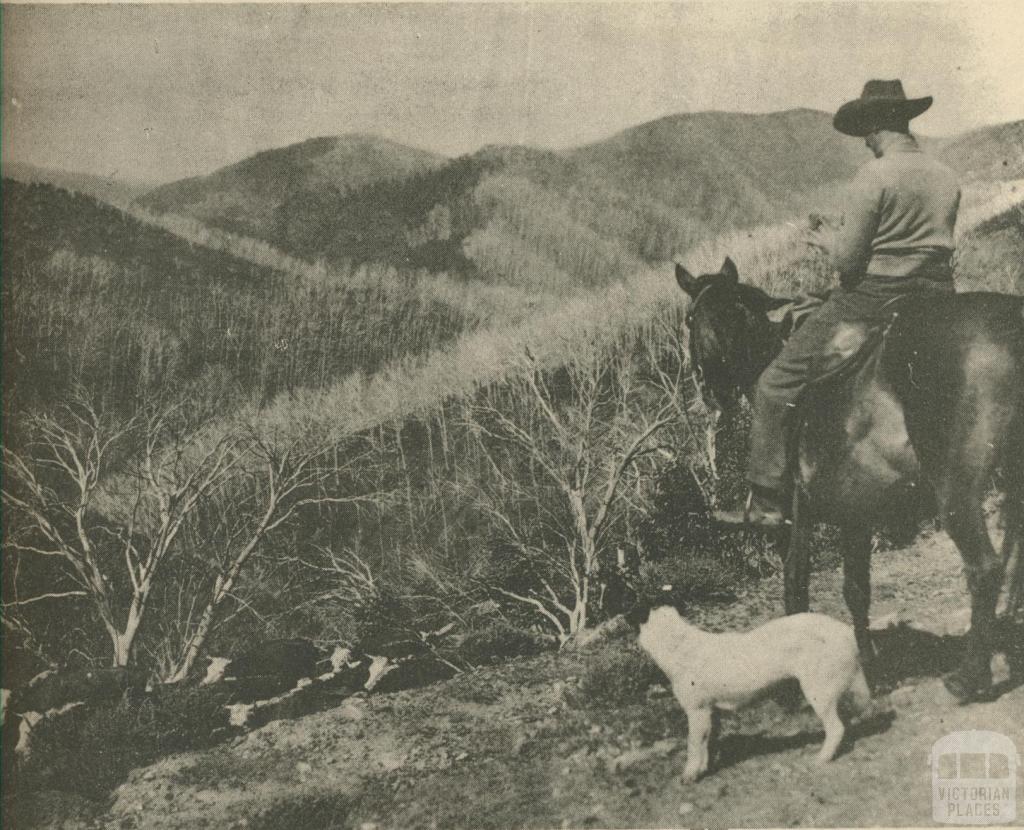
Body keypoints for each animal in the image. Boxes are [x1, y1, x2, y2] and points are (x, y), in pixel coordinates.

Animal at [630, 605, 872, 781]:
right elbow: (709, 742)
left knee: (836, 728)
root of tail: (846, 632)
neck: (679, 646)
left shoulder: (697, 710)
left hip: (818, 691)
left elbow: (693, 744)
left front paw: (689, 775)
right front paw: (705, 768)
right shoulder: (711, 712)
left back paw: (821, 758)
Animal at [679, 257, 1024, 700]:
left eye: (692, 318)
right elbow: (856, 591)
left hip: (956, 489)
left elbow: (796, 588)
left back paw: (969, 679)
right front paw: (870, 669)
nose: (714, 391)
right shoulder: (855, 516)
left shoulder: (798, 520)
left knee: (984, 568)